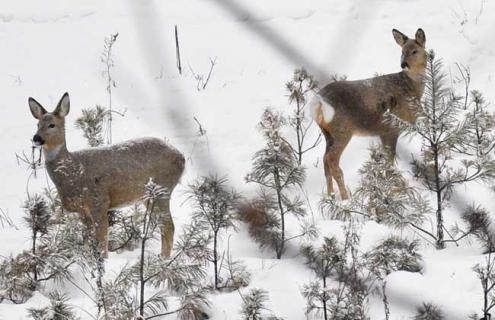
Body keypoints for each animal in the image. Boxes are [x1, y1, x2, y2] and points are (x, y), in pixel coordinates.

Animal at [28, 91, 186, 256]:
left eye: (52, 125)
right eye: (37, 125)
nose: (36, 138)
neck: (73, 173)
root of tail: (181, 157)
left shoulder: (99, 201)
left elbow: (102, 243)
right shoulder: (82, 210)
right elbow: (88, 241)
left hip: (162, 189)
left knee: (168, 226)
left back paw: (163, 259)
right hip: (148, 196)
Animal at [310, 27, 426, 199]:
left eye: (414, 51)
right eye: (402, 51)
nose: (403, 64)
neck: (411, 89)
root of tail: (318, 103)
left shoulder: (384, 132)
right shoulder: (391, 129)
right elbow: (389, 161)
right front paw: (393, 187)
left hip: (327, 133)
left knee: (325, 160)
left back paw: (331, 196)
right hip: (342, 130)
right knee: (332, 160)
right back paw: (345, 197)